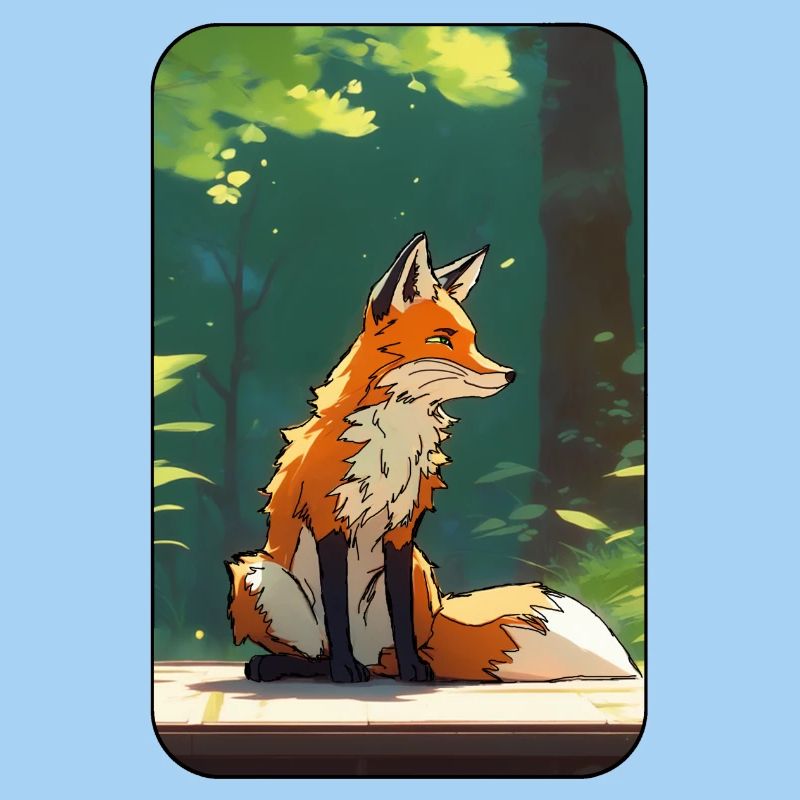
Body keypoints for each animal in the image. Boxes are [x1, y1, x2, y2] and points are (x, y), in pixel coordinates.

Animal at [226, 233, 639, 683]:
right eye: (442, 340)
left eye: (472, 339)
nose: (509, 374)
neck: (395, 439)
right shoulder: (328, 522)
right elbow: (337, 614)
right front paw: (344, 670)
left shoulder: (402, 530)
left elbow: (402, 617)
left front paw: (413, 668)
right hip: (255, 576)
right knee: (319, 650)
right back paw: (296, 665)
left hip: (417, 571)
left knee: (382, 653)